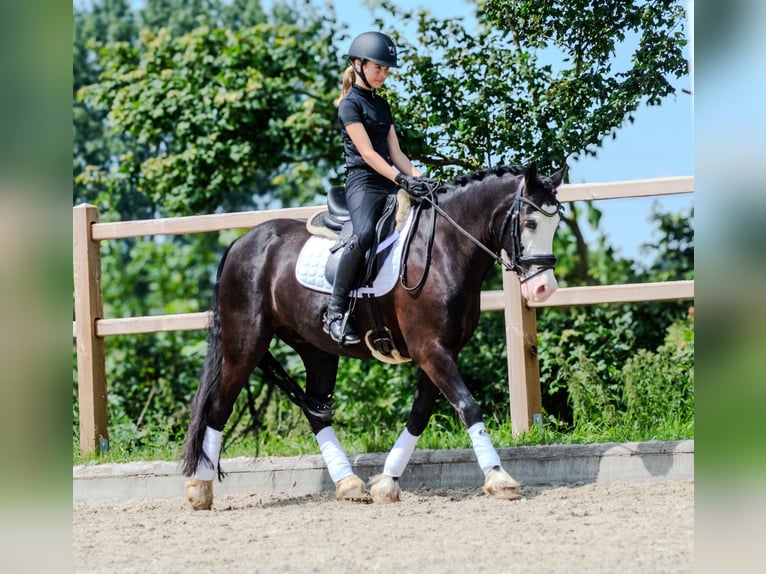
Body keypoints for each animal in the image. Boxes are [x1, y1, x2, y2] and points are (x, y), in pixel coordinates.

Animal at [182, 162, 565, 509]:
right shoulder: (430, 348)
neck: (444, 246)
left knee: (316, 411)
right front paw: (499, 477)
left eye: (555, 224)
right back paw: (200, 489)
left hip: (317, 350)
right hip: (245, 341)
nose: (544, 289)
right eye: (529, 222)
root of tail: (242, 241)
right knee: (219, 406)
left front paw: (387, 482)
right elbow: (468, 406)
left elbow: (420, 414)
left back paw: (349, 484)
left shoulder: (443, 350)